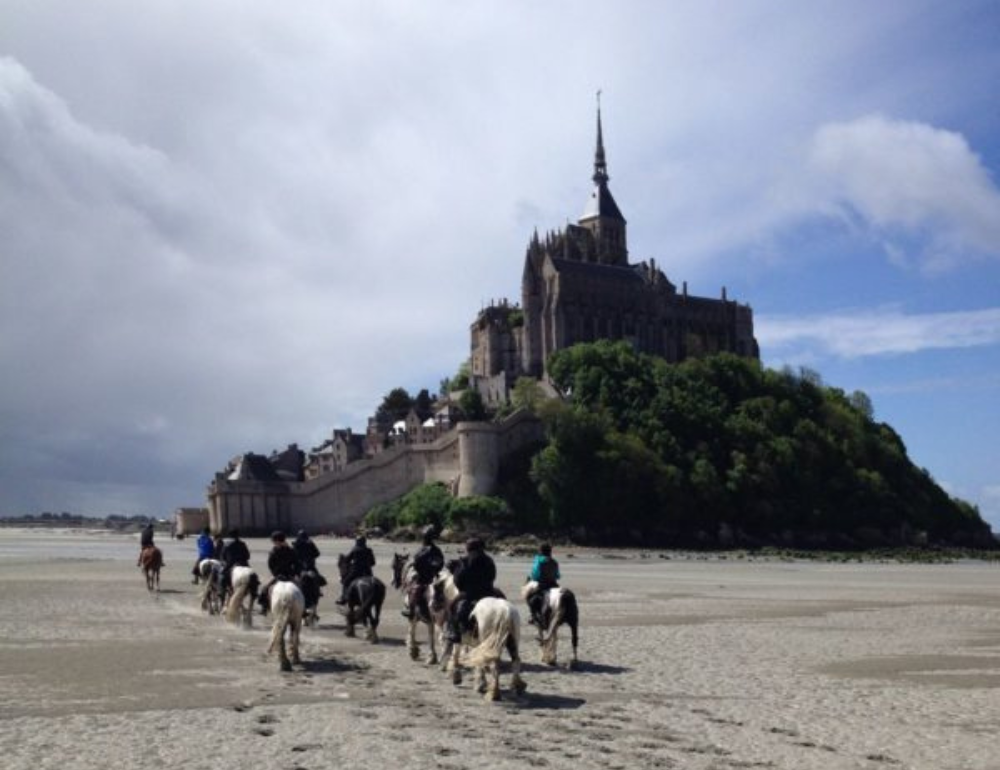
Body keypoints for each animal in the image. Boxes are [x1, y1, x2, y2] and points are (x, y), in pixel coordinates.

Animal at [438, 568, 532, 704]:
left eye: (437, 588)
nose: (434, 605)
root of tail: (505, 611)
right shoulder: (477, 644)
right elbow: (477, 661)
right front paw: (480, 684)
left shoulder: (459, 639)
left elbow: (456, 654)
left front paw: (457, 677)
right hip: (512, 641)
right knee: (515, 661)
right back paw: (516, 687)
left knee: (494, 664)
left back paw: (494, 694)